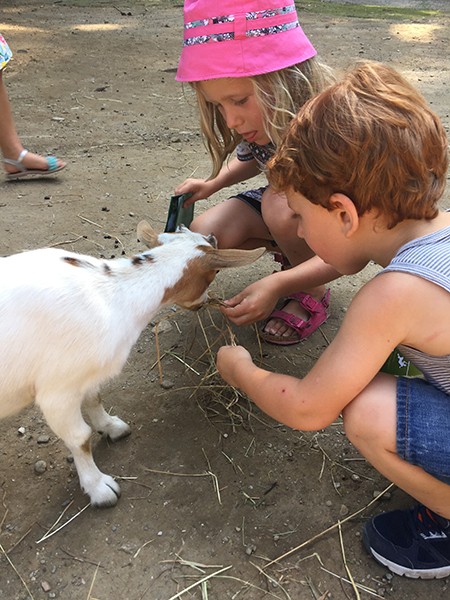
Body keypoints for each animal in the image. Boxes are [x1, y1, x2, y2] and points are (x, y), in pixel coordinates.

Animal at [0, 223, 266, 508]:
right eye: (214, 272)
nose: (204, 303)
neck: (114, 294)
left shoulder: (87, 373)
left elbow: (95, 398)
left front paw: (112, 428)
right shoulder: (57, 391)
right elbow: (80, 437)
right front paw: (100, 489)